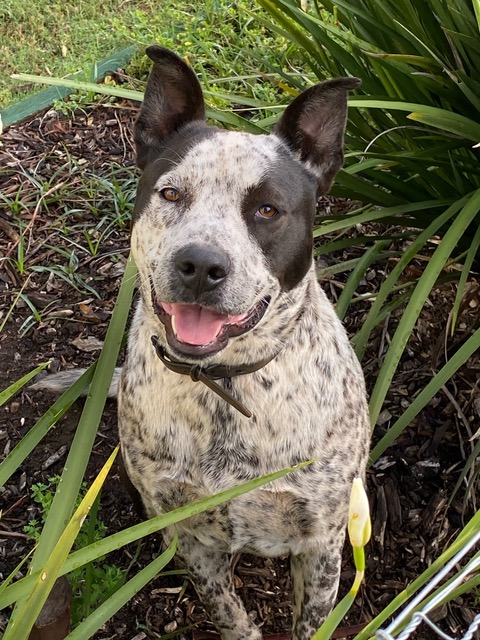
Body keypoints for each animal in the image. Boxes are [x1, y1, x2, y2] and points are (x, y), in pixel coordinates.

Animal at [36, 47, 372, 636]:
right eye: (171, 193)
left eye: (266, 209)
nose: (200, 265)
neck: (223, 385)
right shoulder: (189, 533)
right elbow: (226, 609)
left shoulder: (323, 541)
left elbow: (311, 621)